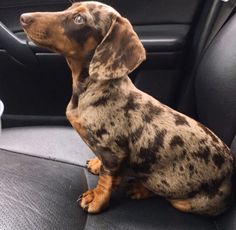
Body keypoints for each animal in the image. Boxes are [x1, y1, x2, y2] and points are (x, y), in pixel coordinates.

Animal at [21, 0, 235, 216]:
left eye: (79, 18)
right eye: (70, 8)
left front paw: (97, 198)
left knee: (167, 196)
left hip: (184, 200)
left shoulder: (113, 152)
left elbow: (106, 178)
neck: (93, 88)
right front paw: (98, 164)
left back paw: (140, 188)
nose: (23, 17)